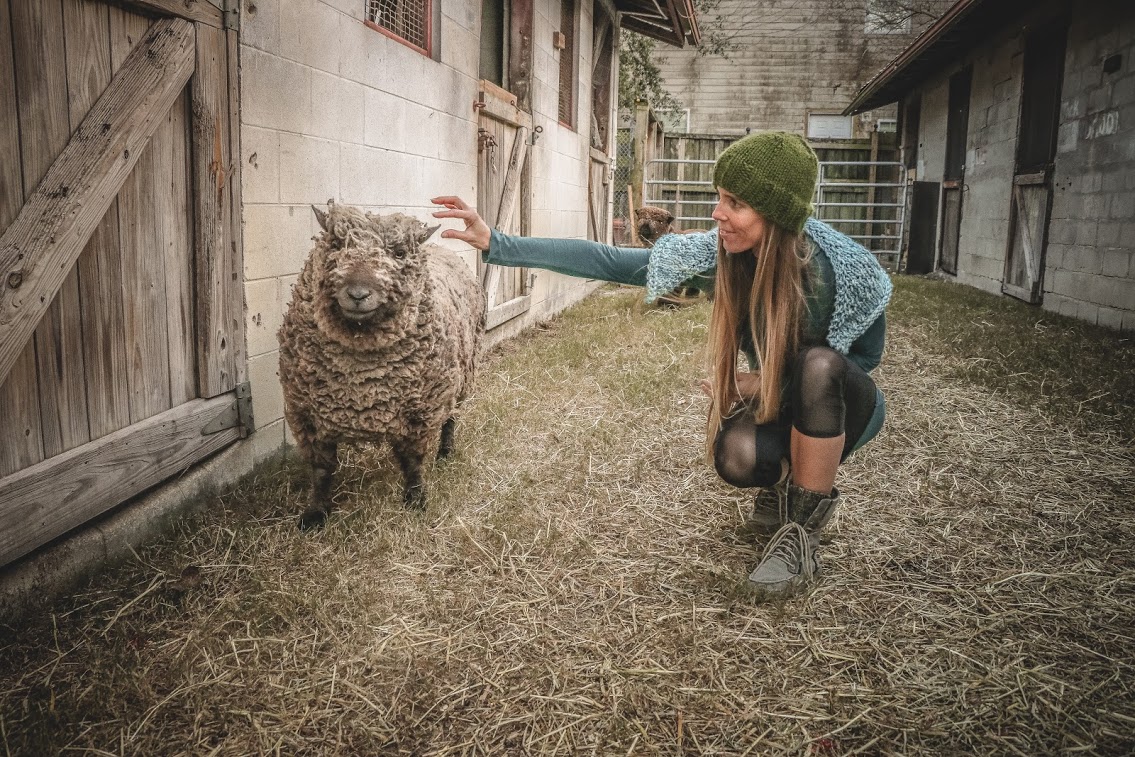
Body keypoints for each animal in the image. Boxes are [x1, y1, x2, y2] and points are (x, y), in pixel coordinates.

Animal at [281, 204, 485, 531]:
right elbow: (321, 470)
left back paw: (445, 452)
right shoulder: (308, 416)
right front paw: (315, 514)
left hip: (461, 376)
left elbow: (413, 463)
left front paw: (415, 501)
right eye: (336, 244)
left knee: (451, 418)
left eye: (399, 252)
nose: (358, 294)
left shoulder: (420, 412)